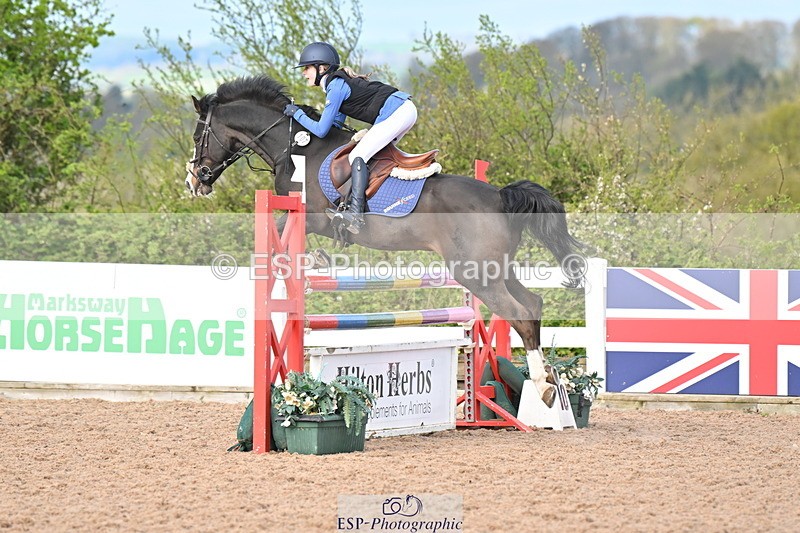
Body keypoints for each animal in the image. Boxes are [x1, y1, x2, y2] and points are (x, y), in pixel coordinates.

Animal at [185, 75, 585, 407]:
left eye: (197, 136)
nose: (194, 182)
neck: (295, 148)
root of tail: (501, 196)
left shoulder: (312, 217)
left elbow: (282, 237)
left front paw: (313, 260)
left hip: (477, 274)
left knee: (519, 313)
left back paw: (544, 387)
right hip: (495, 268)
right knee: (532, 304)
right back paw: (546, 382)